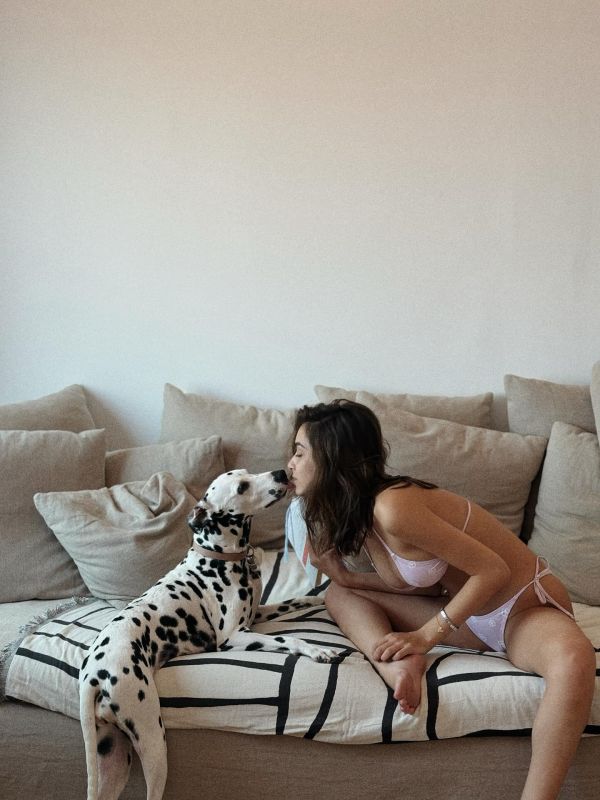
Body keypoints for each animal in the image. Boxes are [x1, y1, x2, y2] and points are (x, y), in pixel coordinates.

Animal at [79, 468, 336, 800]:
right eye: (242, 487)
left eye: (247, 473)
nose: (281, 472)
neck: (219, 556)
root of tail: (93, 676)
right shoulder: (235, 637)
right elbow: (288, 639)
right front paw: (318, 650)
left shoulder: (257, 615)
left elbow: (296, 600)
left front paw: (320, 598)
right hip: (153, 741)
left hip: (114, 761)